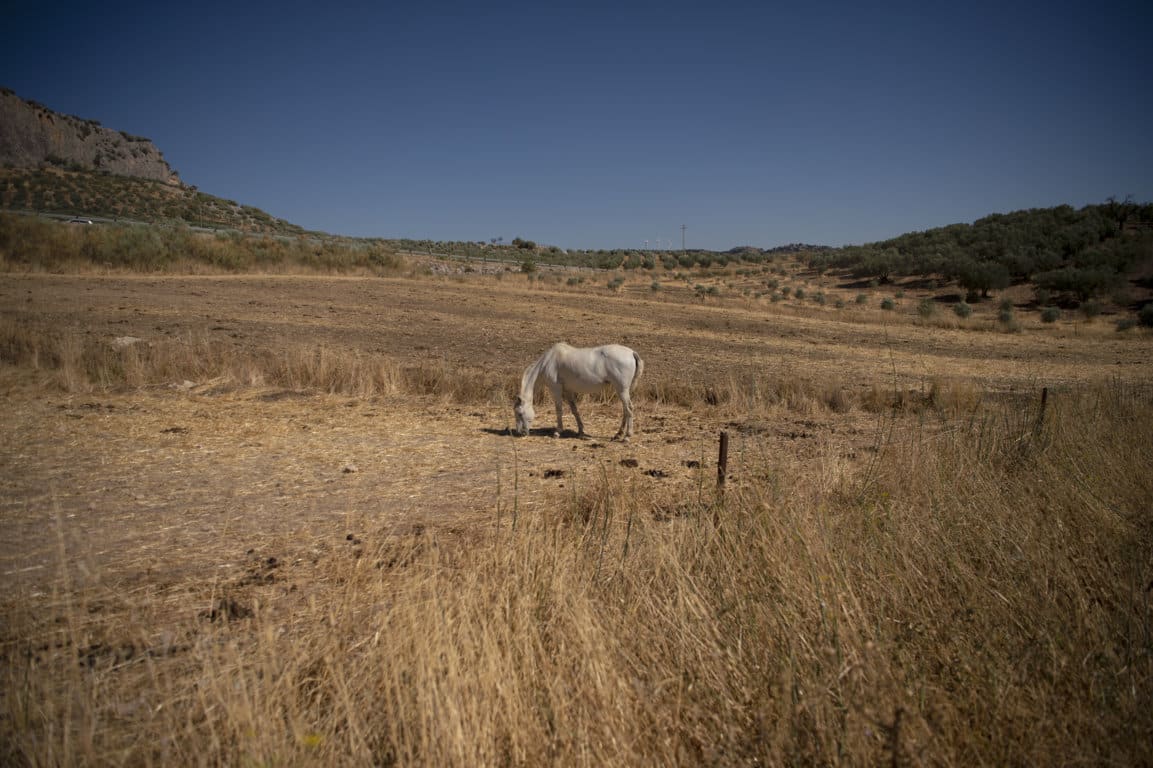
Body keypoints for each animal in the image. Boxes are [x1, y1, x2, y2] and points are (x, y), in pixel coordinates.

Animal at [511, 343, 641, 440]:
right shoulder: (568, 391)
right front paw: (581, 431)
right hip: (622, 391)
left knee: (629, 409)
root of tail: (631, 352)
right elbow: (574, 410)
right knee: (625, 410)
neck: (548, 362)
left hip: (622, 390)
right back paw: (618, 434)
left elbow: (559, 410)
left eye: (519, 413)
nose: (520, 433)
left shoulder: (556, 389)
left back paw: (627, 436)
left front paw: (557, 432)